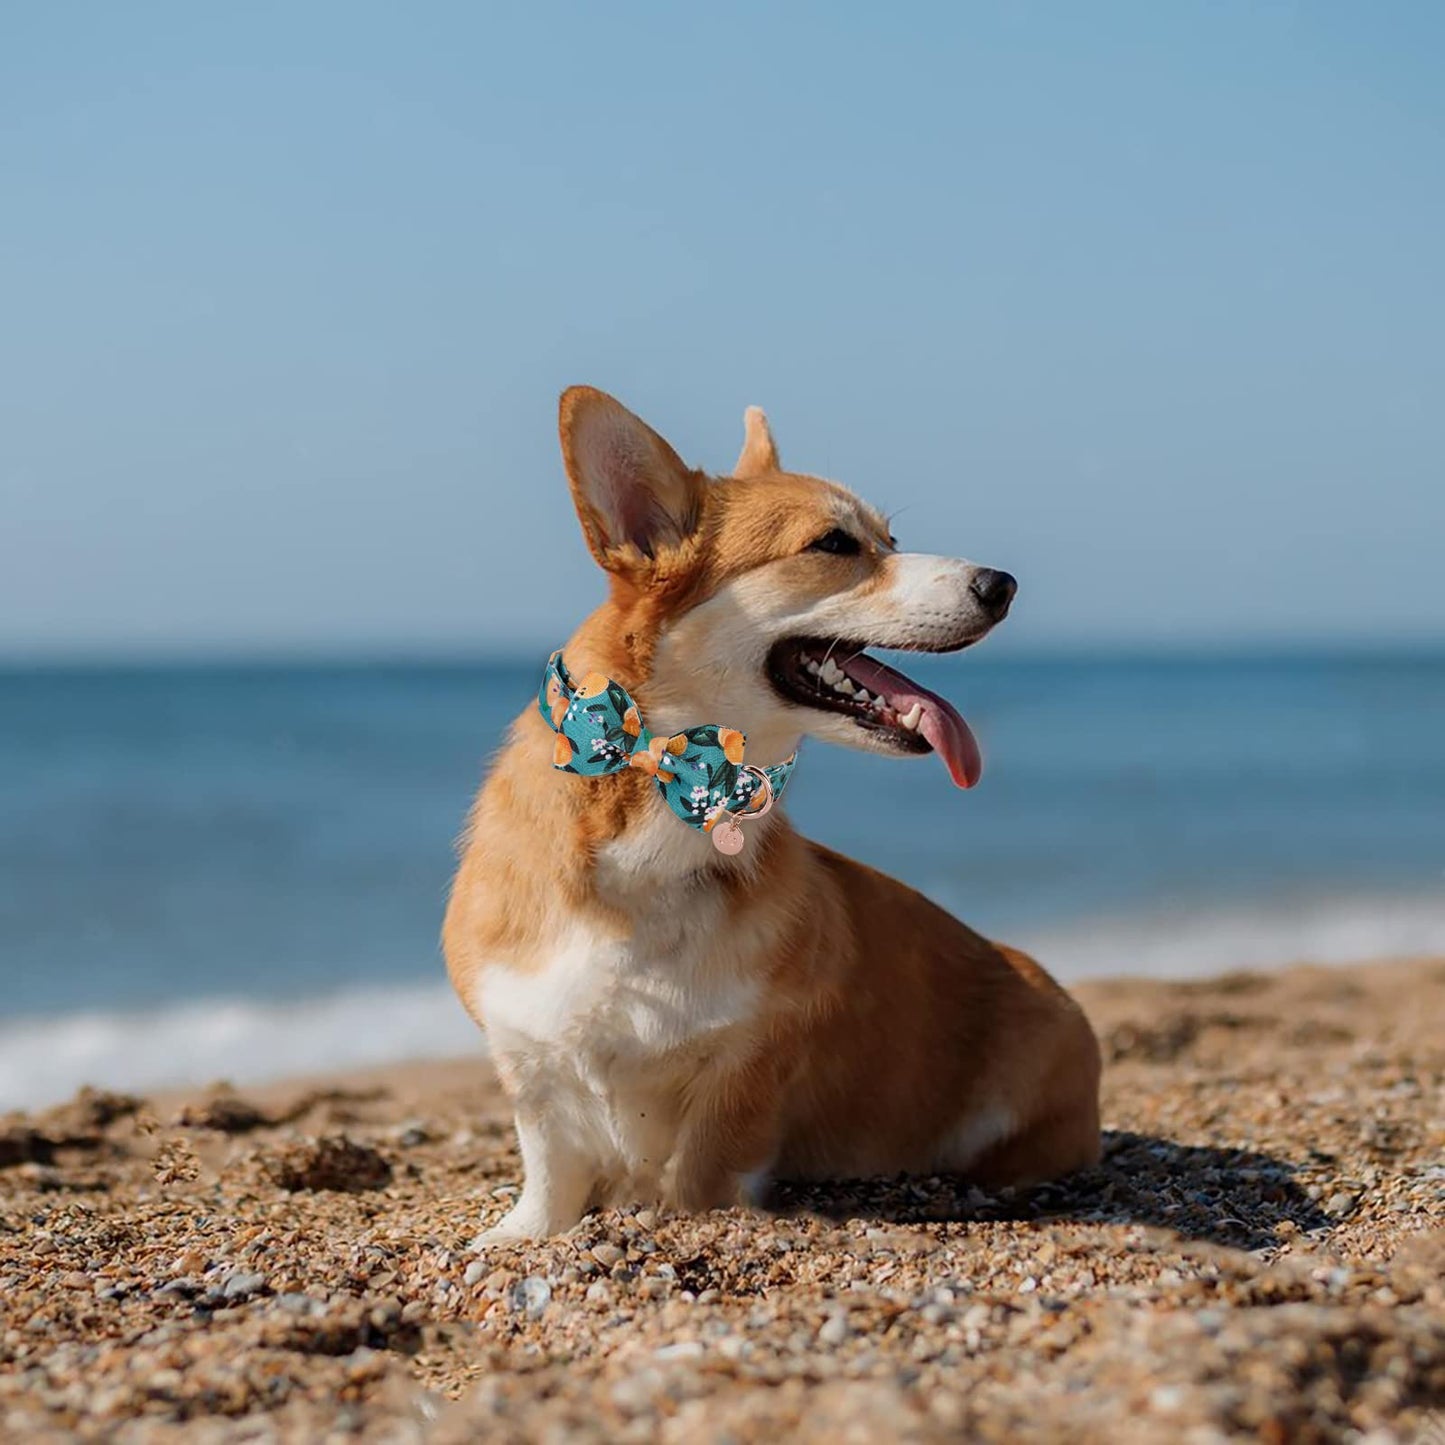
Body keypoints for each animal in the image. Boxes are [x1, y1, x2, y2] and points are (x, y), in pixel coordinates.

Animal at [445, 387, 1098, 1242]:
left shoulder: (749, 1067)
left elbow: (700, 1179)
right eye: (834, 543)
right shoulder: (529, 1053)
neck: (674, 801)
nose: (1003, 583)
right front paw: (520, 1233)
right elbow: (549, 1167)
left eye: (891, 539)